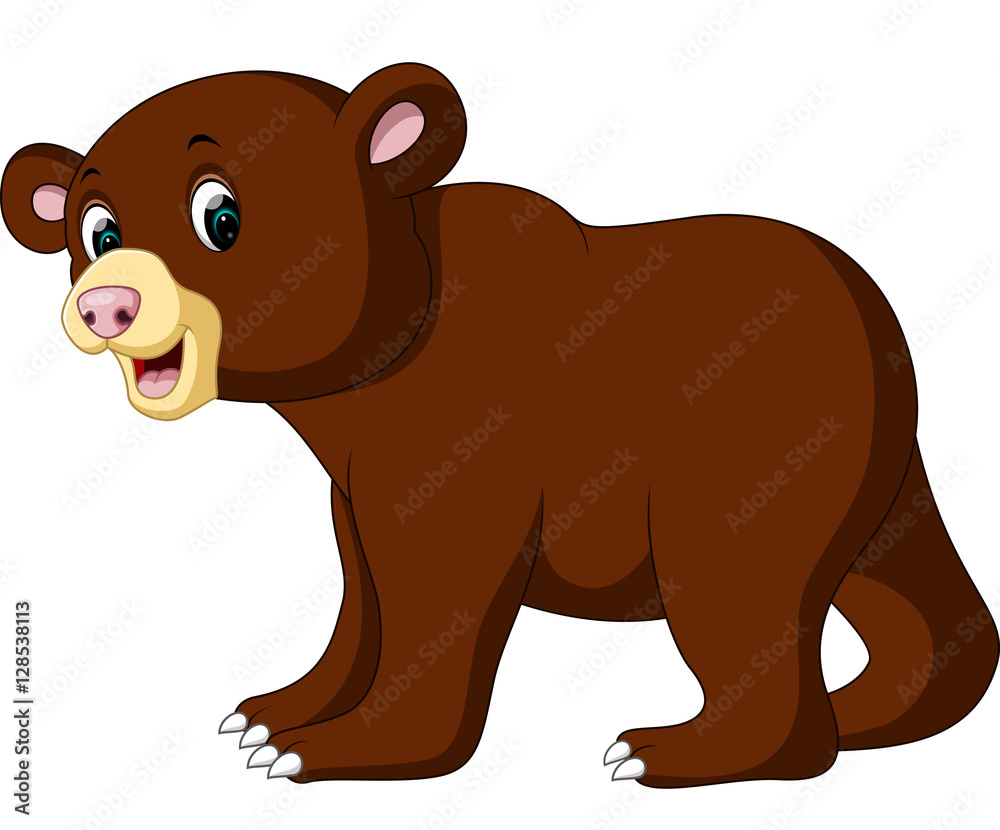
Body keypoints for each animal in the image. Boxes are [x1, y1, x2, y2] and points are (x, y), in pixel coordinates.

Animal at [2, 63, 997, 788]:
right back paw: (855, 712)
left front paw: (322, 748)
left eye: (221, 216)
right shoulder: (357, 470)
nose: (108, 302)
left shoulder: (470, 428)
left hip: (759, 434)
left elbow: (436, 586)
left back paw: (663, 750)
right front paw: (272, 712)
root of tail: (878, 316)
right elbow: (363, 591)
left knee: (732, 575)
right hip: (869, 465)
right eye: (96, 230)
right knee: (899, 583)